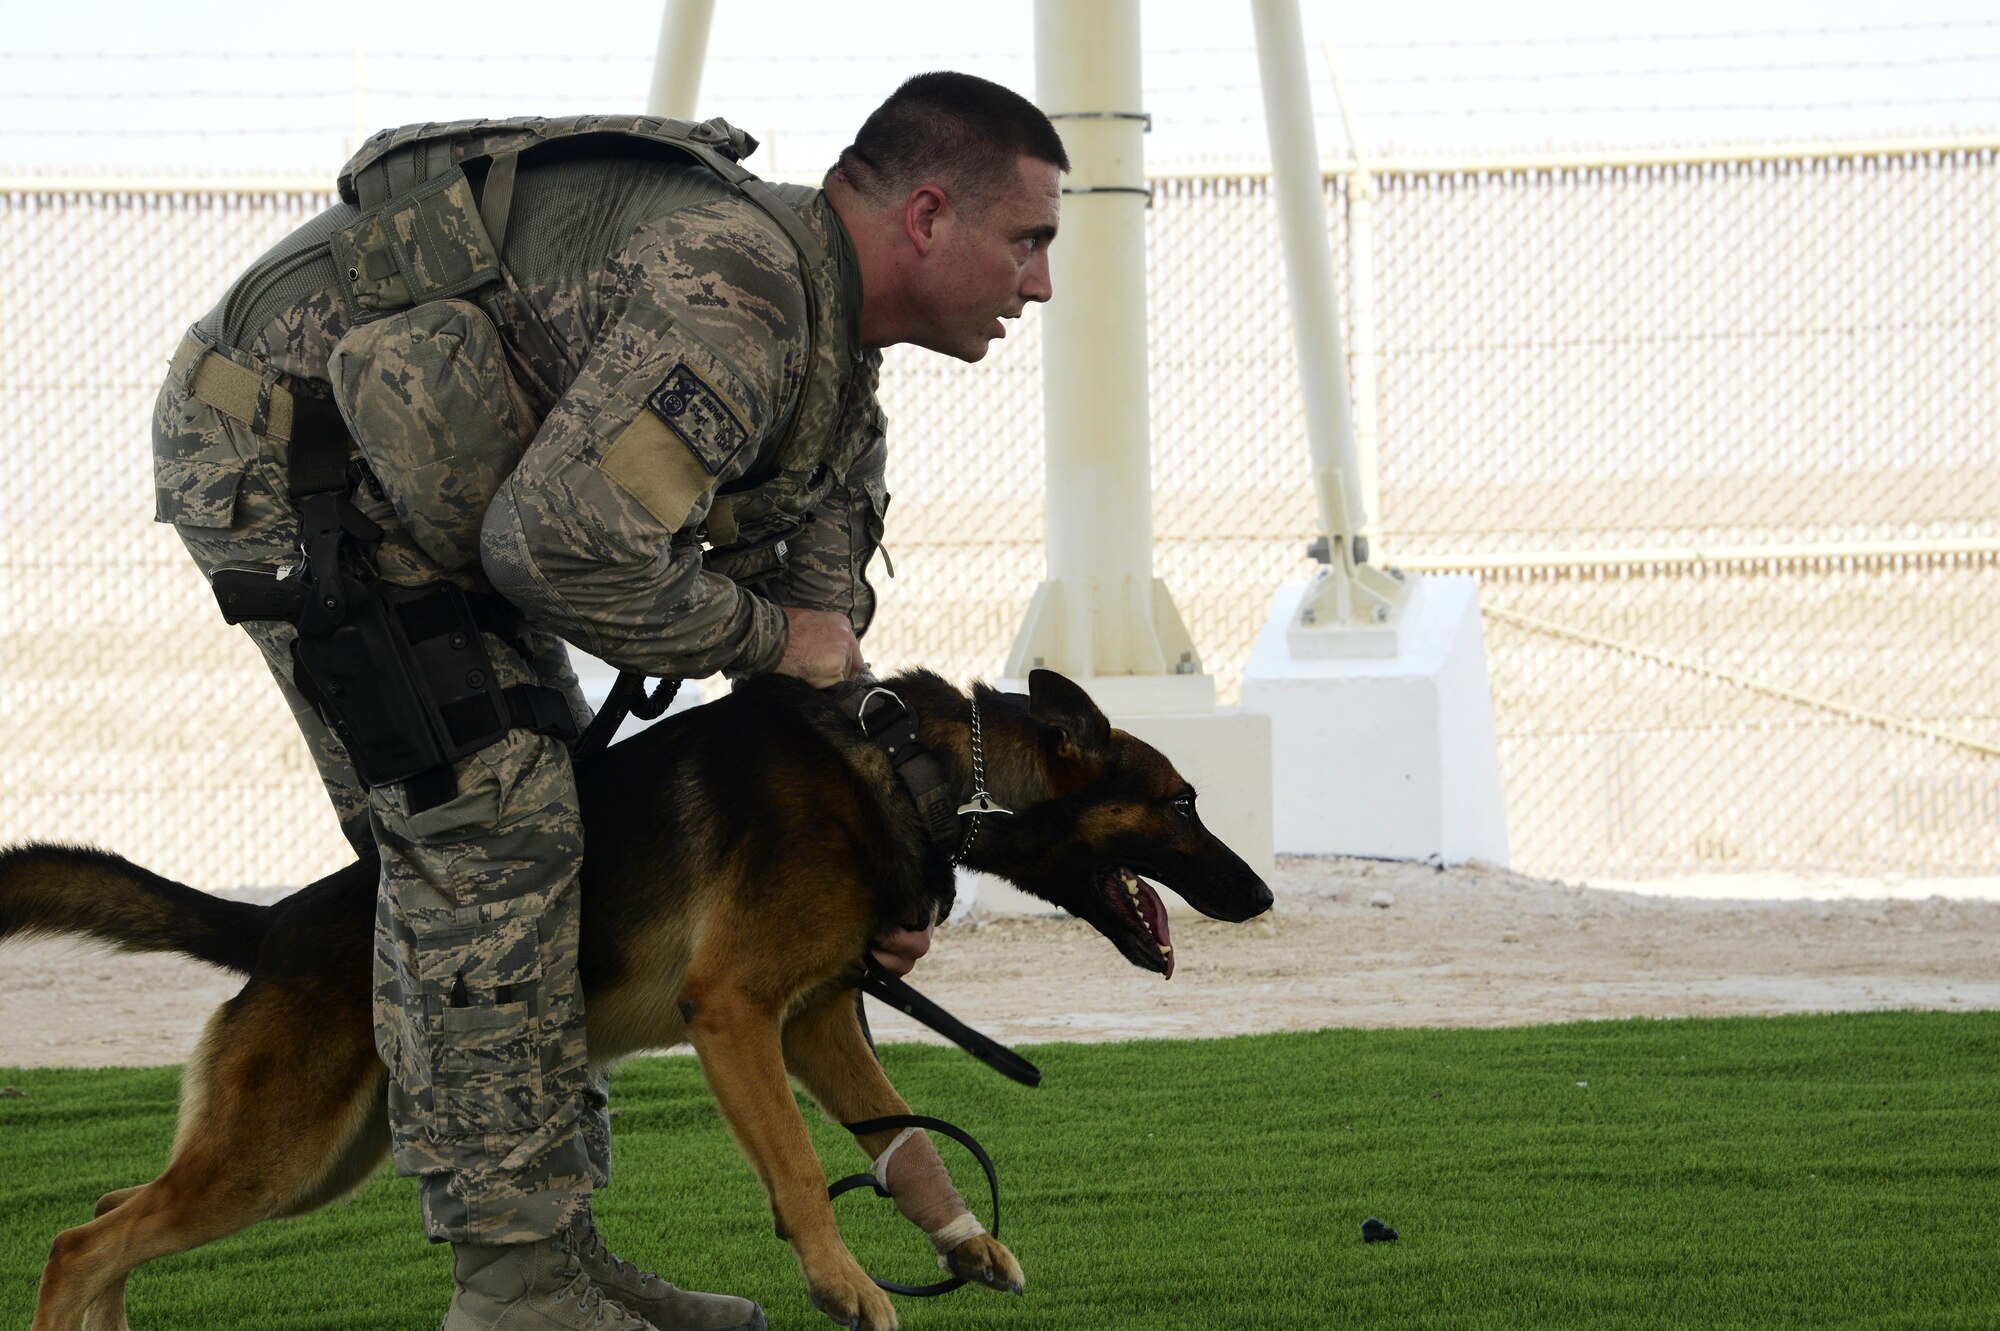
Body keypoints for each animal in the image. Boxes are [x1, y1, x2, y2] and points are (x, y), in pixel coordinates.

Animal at [0, 667, 1272, 1327]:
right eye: (1182, 802)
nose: (1257, 892)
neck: (917, 772)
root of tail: (270, 924)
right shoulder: (735, 1013)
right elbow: (801, 1169)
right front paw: (843, 1282)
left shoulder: (816, 1018)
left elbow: (897, 1133)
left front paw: (961, 1240)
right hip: (281, 1152)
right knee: (78, 1238)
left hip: (313, 1160)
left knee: (111, 1217)